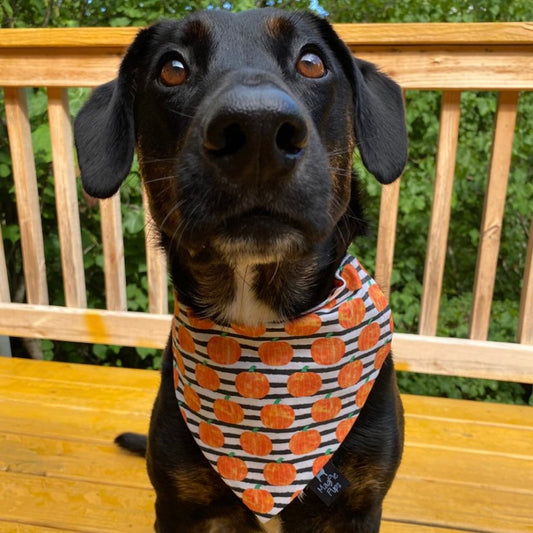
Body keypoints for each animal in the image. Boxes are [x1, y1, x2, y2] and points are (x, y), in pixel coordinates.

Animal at [75, 8, 406, 532]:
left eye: (312, 61)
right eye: (172, 68)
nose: (257, 131)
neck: (261, 329)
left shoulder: (360, 505)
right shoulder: (178, 506)